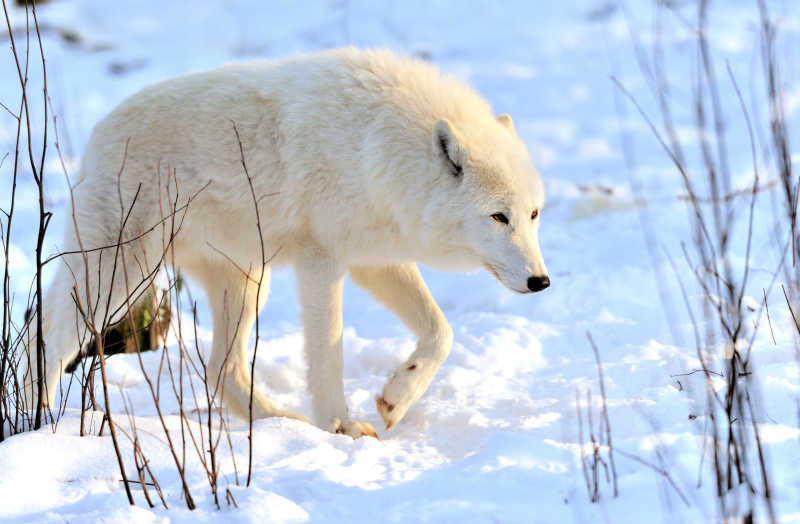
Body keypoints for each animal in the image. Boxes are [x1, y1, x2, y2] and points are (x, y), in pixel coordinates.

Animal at [29, 48, 552, 438]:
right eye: (498, 216)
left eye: (532, 214)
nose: (541, 281)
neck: (376, 146)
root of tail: (98, 134)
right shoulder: (323, 262)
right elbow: (327, 355)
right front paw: (341, 427)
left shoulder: (375, 260)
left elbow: (441, 333)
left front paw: (394, 401)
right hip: (118, 277)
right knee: (51, 340)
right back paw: (42, 421)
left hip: (245, 284)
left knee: (221, 368)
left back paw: (281, 422)